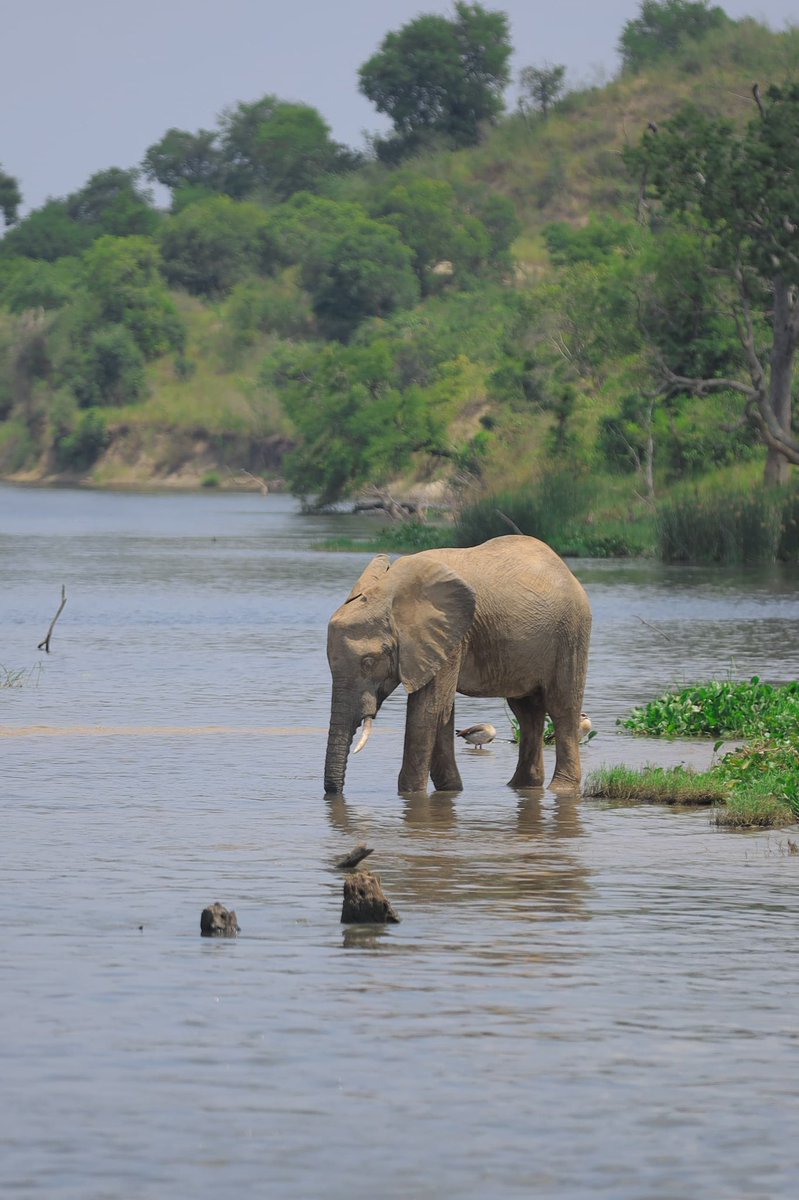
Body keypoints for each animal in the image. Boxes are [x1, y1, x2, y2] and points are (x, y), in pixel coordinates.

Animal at [323, 534, 591, 796]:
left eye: (368, 662)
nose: (333, 794)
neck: (388, 592)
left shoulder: (450, 638)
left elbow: (428, 709)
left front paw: (410, 794)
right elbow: (443, 710)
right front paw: (450, 791)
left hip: (571, 631)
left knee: (562, 708)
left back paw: (561, 788)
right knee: (527, 712)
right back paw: (521, 786)